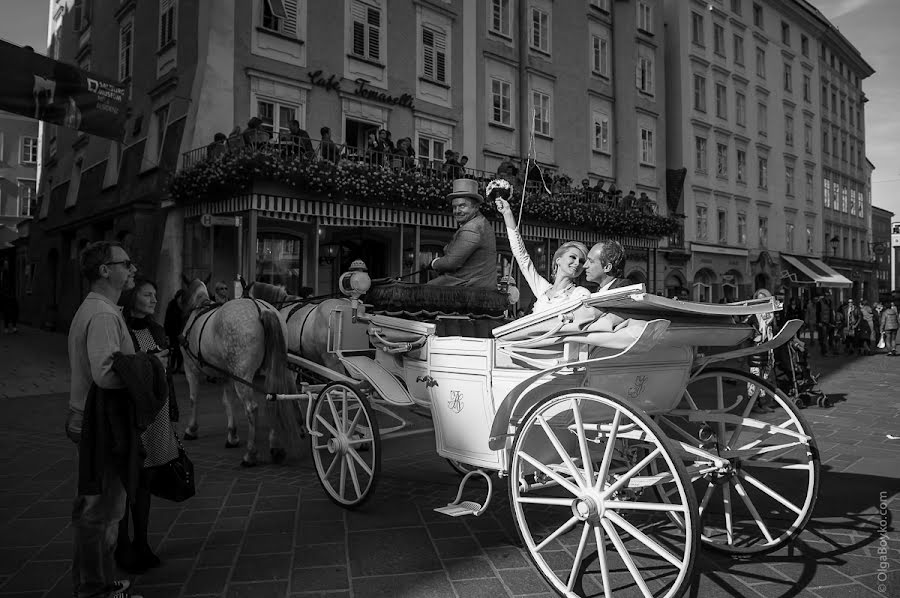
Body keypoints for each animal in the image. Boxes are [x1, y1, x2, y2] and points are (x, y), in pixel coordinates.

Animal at [178, 278, 302, 466]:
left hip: (242, 374)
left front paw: (191, 429)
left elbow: (194, 398)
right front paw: (232, 435)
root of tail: (262, 309)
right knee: (273, 400)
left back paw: (250, 454)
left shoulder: (190, 368)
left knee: (251, 408)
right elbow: (227, 402)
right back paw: (275, 447)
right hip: (269, 369)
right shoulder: (227, 375)